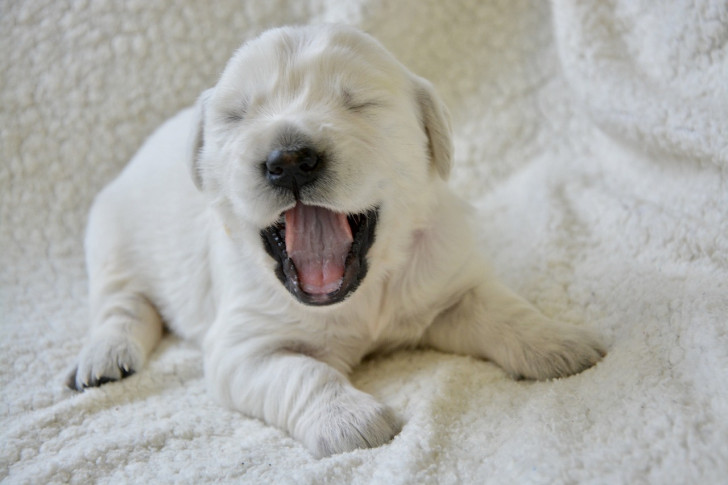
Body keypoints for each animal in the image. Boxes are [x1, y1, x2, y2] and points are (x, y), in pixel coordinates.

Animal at [67, 24, 604, 458]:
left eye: (359, 103)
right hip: (109, 236)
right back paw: (104, 357)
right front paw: (349, 420)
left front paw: (558, 341)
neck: (363, 293)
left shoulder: (449, 282)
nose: (288, 159)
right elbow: (304, 374)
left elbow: (504, 310)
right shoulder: (241, 349)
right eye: (237, 115)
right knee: (121, 304)